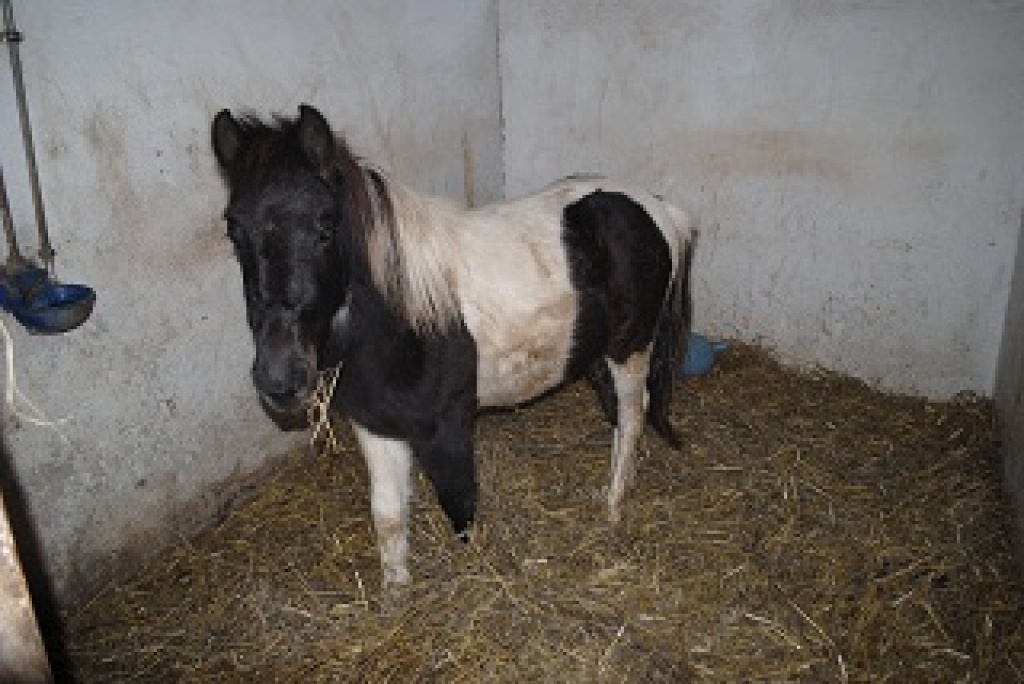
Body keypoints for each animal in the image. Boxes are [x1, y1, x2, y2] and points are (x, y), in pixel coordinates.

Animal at [211, 104, 695, 586]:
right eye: (234, 229)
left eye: (326, 226)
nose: (280, 379)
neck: (404, 324)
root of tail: (659, 209)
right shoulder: (376, 427)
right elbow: (388, 519)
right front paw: (396, 594)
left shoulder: (448, 431)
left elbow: (460, 507)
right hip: (595, 354)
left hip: (630, 349)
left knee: (632, 416)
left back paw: (613, 505)